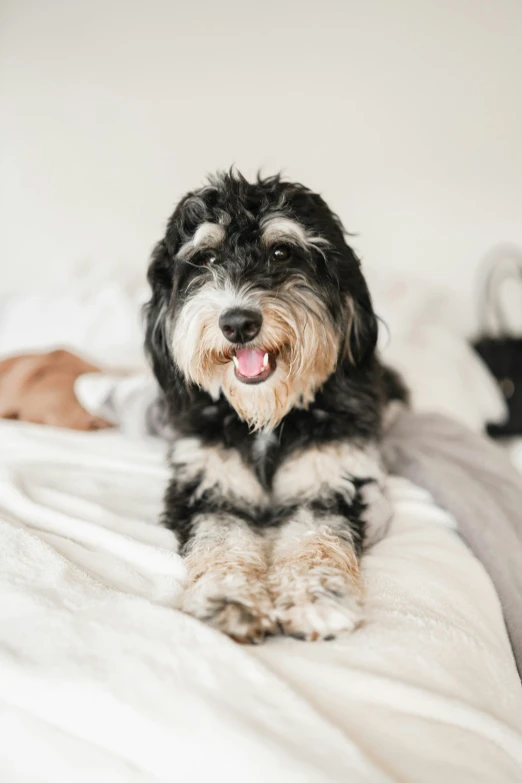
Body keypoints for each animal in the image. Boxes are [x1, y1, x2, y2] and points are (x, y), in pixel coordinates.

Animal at [144, 170, 404, 644]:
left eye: (281, 252)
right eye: (206, 258)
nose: (238, 323)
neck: (264, 417)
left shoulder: (328, 480)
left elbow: (317, 539)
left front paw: (318, 597)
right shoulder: (209, 485)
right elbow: (222, 540)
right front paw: (228, 598)